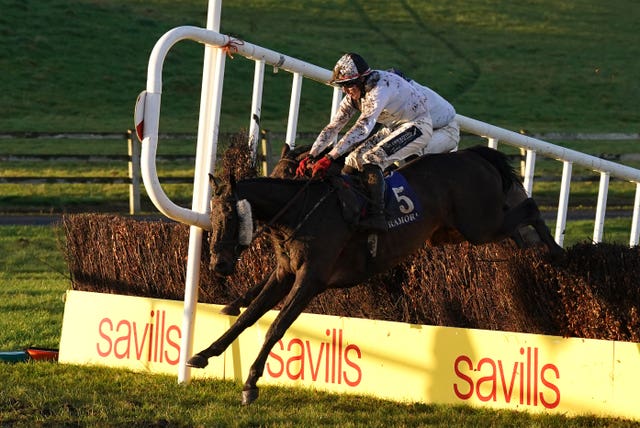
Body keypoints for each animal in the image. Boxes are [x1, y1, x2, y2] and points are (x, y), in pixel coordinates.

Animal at [188, 145, 564, 404]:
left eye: (230, 216)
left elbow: (276, 326)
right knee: (519, 225)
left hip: (479, 225)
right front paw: (203, 354)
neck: (299, 211)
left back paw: (557, 255)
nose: (219, 264)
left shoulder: (311, 279)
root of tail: (474, 155)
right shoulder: (284, 274)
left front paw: (250, 383)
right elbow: (247, 317)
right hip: (456, 230)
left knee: (530, 209)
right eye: (212, 214)